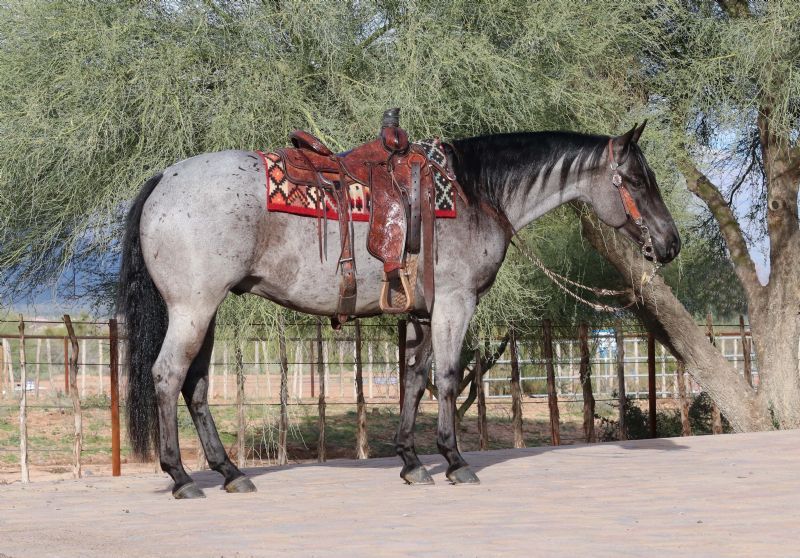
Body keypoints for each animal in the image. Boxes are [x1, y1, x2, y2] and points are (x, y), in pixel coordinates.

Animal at [118, 120, 680, 498]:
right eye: (636, 181)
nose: (670, 244)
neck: (476, 193)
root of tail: (164, 178)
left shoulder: (424, 313)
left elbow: (415, 379)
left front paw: (412, 461)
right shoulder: (455, 302)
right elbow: (448, 378)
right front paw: (454, 460)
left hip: (206, 312)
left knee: (195, 386)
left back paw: (230, 473)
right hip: (192, 308)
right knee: (167, 376)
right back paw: (182, 477)